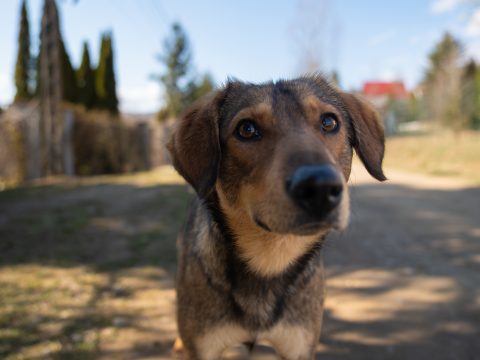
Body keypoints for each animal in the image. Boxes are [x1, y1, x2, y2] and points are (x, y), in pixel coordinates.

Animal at [168, 74, 386, 358]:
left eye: (329, 122)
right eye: (246, 129)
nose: (320, 187)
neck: (270, 259)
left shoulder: (299, 344)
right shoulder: (204, 347)